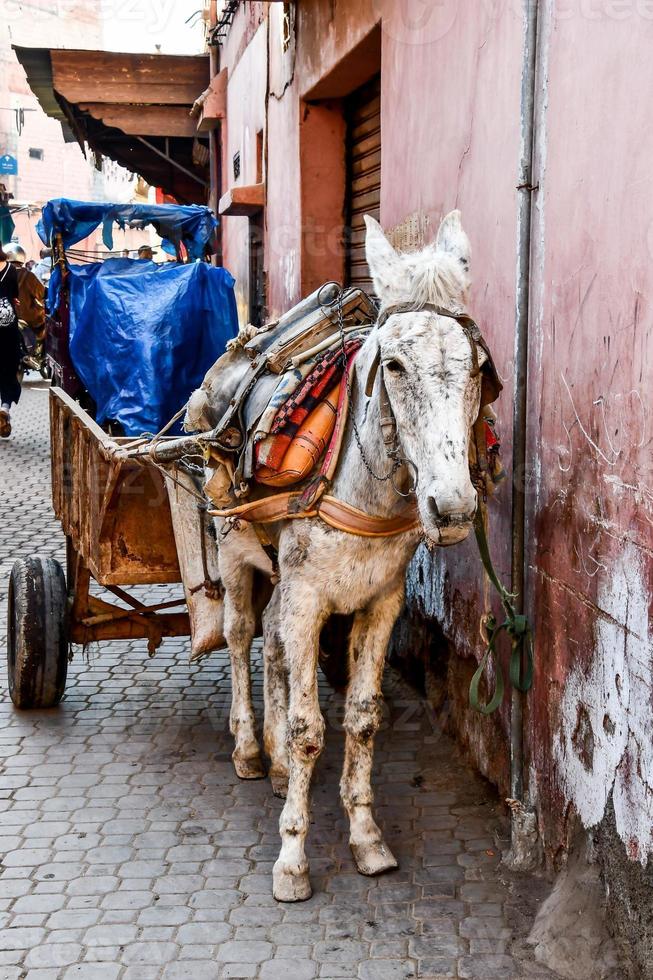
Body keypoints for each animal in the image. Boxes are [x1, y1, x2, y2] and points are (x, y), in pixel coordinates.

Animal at [194, 212, 488, 904]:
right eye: (396, 365)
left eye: (475, 367)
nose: (453, 507)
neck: (359, 484)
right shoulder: (308, 597)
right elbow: (311, 730)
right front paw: (292, 857)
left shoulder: (381, 602)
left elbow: (360, 719)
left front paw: (366, 836)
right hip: (235, 543)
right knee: (242, 633)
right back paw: (251, 749)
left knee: (273, 643)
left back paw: (274, 761)